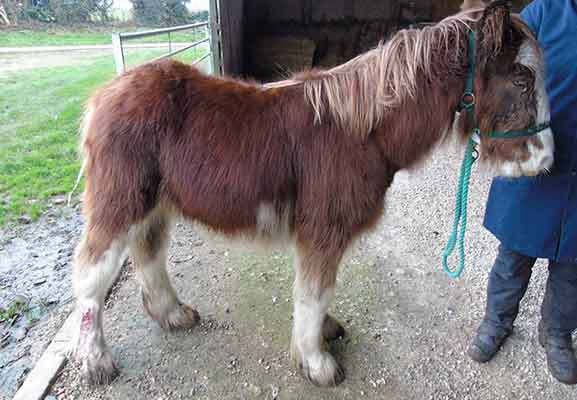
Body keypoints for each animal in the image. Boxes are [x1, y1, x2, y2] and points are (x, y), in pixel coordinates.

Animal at [71, 0, 552, 388]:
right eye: (522, 80)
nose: (547, 161)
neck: (365, 132)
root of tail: (105, 94)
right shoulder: (323, 230)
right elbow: (314, 293)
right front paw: (317, 364)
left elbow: (319, 294)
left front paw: (323, 336)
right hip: (119, 201)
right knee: (93, 274)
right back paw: (97, 363)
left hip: (153, 203)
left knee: (148, 251)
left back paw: (172, 314)